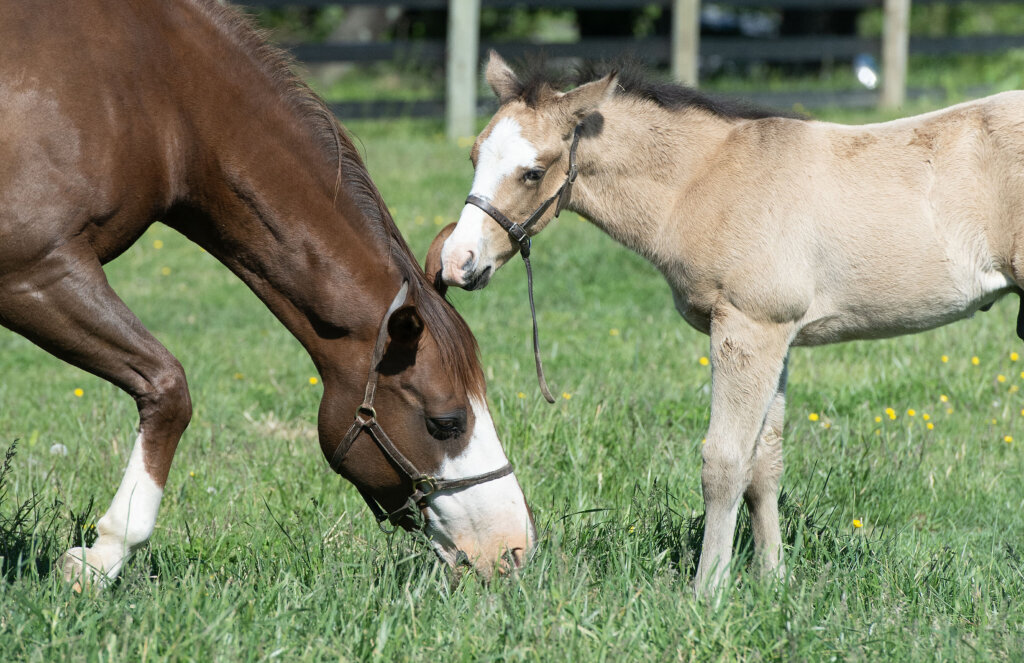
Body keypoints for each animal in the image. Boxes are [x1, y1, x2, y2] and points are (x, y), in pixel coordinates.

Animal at [1, 2, 535, 589]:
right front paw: (103, 555)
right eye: (447, 423)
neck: (160, 96)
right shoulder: (37, 270)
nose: (514, 549)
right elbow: (169, 387)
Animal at [427, 51, 1024, 595]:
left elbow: (724, 463)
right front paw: (771, 581)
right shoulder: (777, 338)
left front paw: (708, 589)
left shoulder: (748, 329)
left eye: (532, 172)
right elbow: (764, 466)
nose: (456, 262)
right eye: (475, 155)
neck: (705, 181)